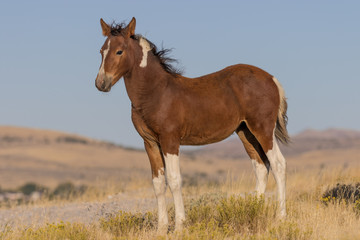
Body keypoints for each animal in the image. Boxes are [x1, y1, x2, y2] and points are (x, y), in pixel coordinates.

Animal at [95, 17, 290, 232]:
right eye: (101, 51)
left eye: (119, 51)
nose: (101, 83)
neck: (156, 92)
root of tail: (271, 78)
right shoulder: (150, 143)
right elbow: (158, 183)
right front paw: (161, 229)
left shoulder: (170, 140)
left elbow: (174, 180)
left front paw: (179, 226)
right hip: (245, 132)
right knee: (261, 167)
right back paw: (253, 210)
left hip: (263, 129)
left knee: (278, 164)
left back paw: (280, 217)